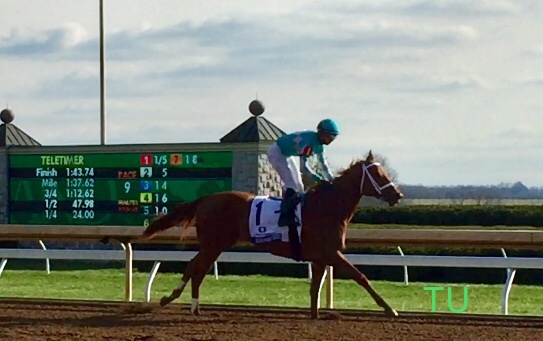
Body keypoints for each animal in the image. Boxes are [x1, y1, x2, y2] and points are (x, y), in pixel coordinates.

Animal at [140, 149, 404, 318]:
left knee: (193, 266)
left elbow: (315, 289)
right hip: (214, 243)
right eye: (377, 174)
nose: (397, 195)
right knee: (198, 270)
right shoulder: (331, 253)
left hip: (214, 244)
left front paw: (316, 316)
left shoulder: (320, 258)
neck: (327, 206)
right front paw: (390, 309)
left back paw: (174, 299)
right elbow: (361, 277)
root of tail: (206, 199)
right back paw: (192, 306)